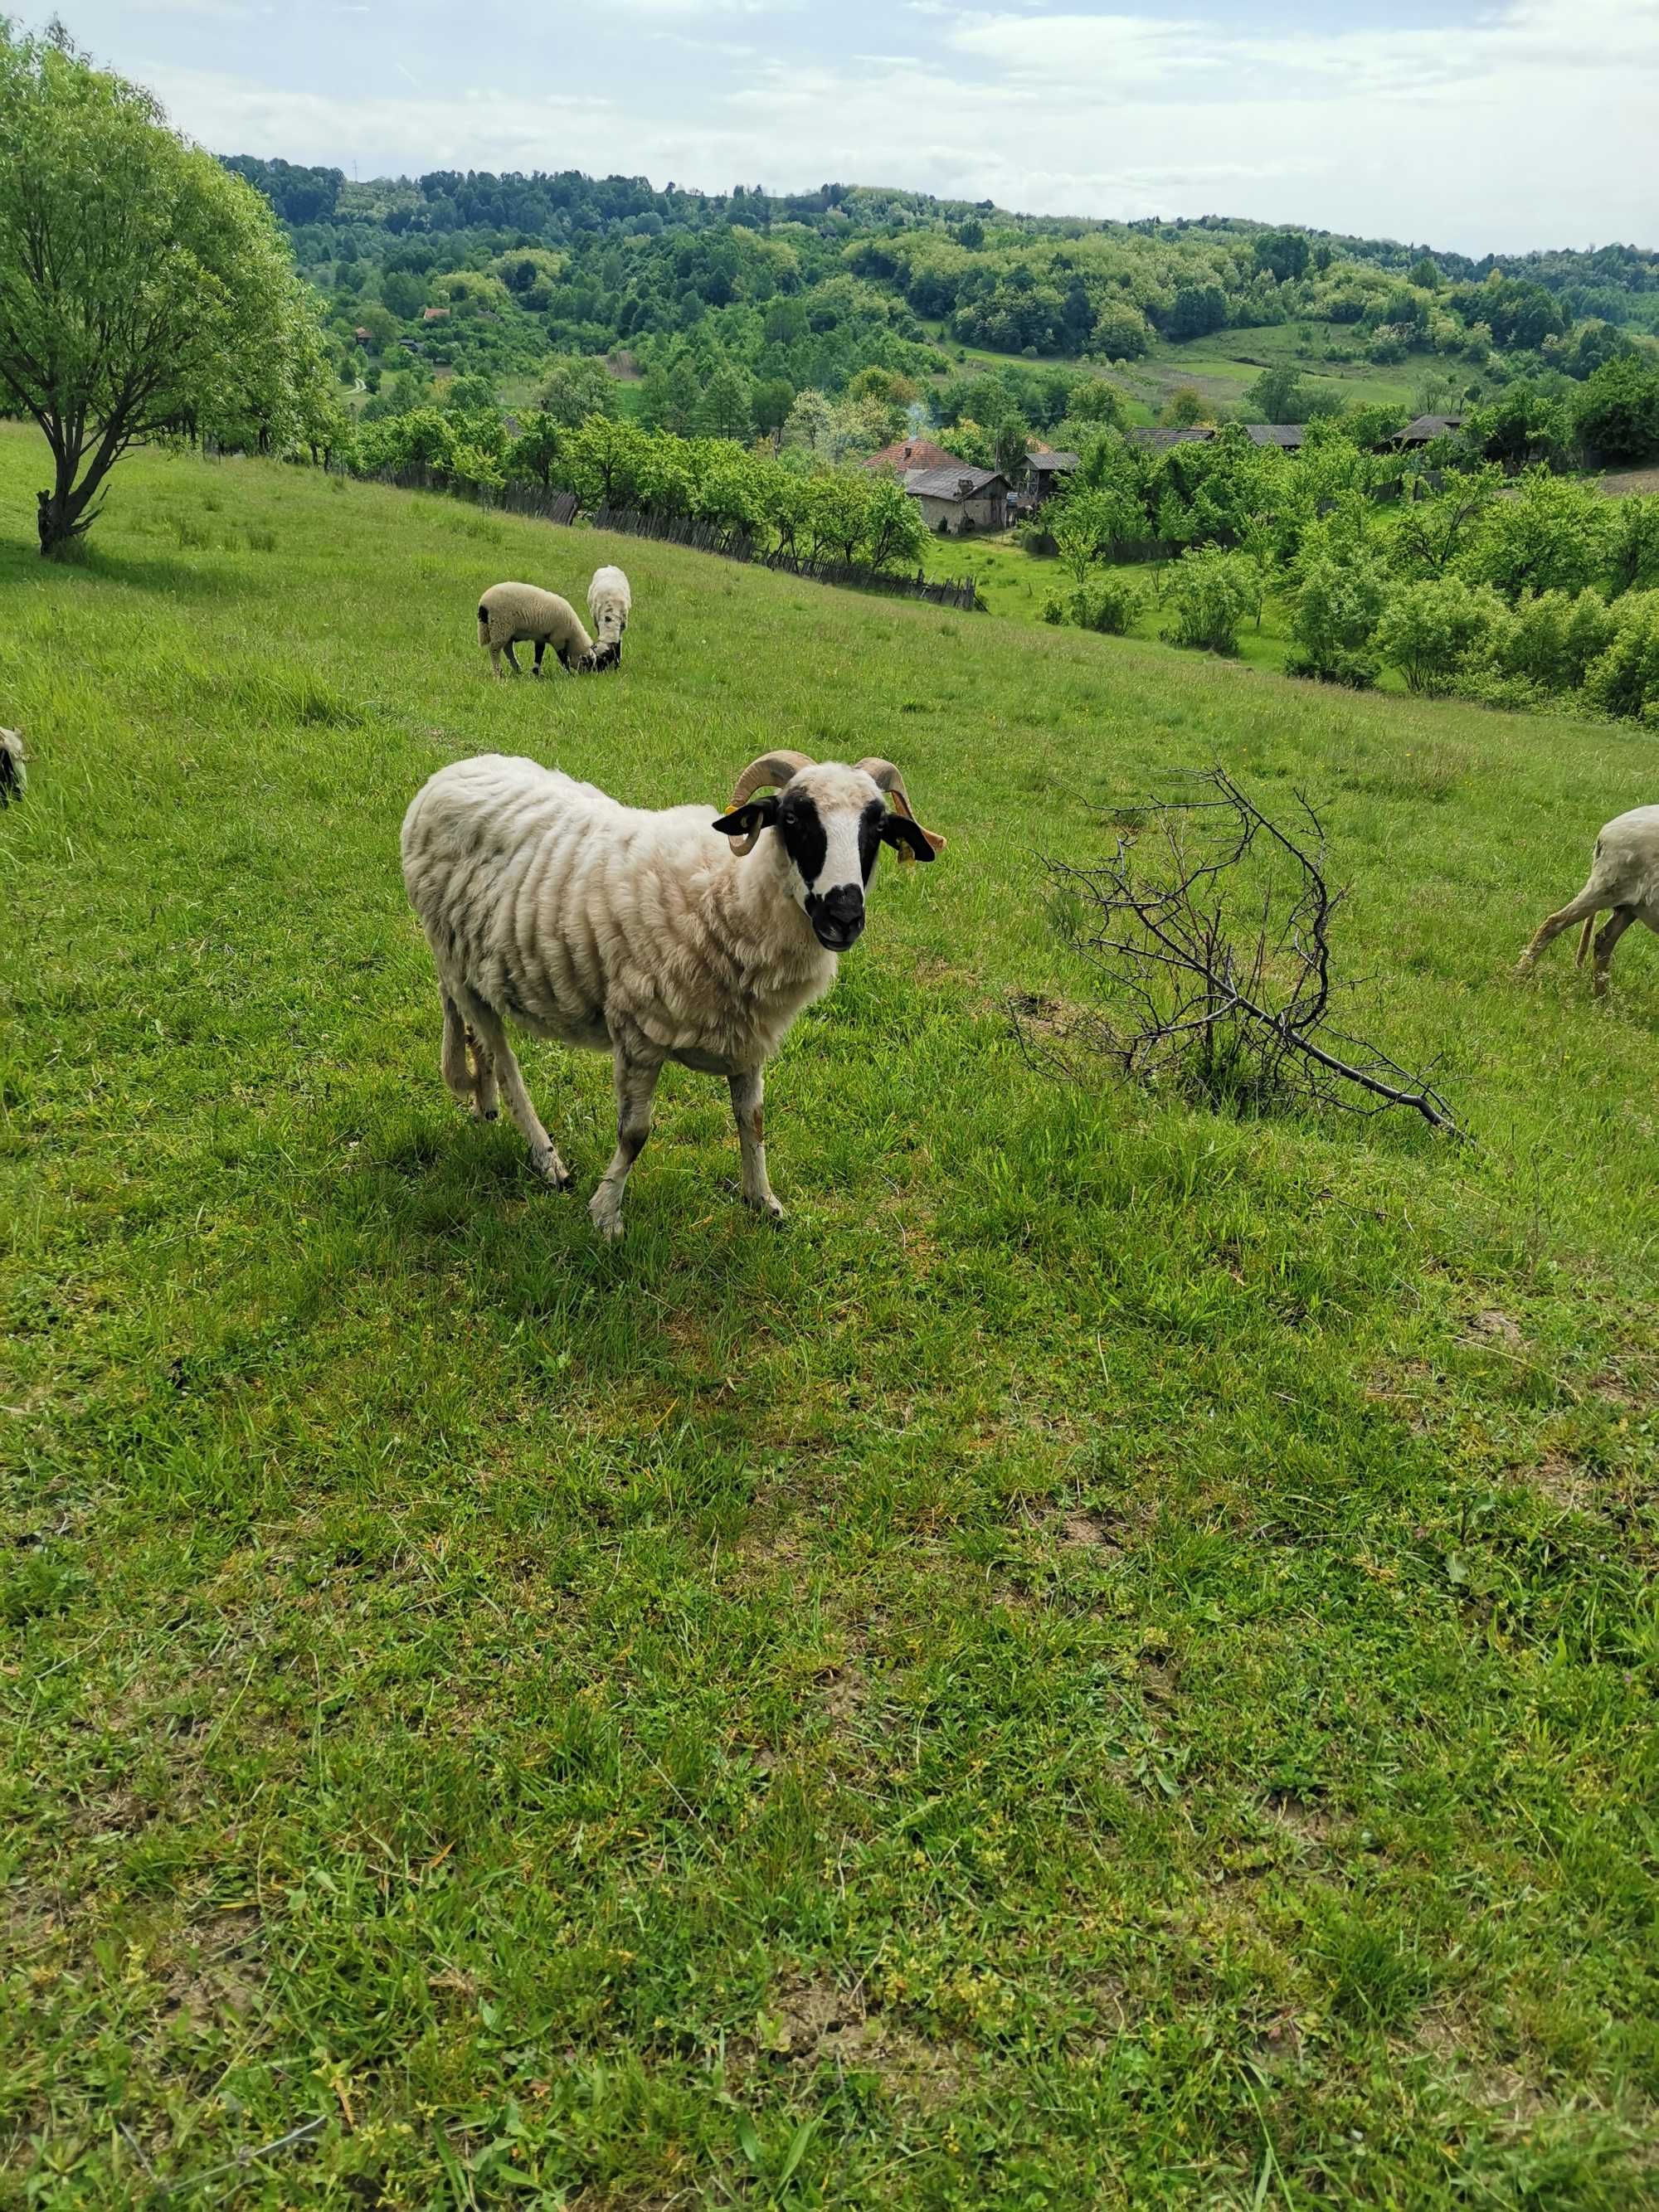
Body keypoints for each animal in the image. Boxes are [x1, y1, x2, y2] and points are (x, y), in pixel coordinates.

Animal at [400, 747, 946, 1238]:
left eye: (878, 828)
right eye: (792, 817)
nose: (843, 917)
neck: (730, 894)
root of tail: (447, 775)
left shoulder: (748, 1035)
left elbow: (753, 1120)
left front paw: (762, 1201)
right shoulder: (639, 1033)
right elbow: (635, 1133)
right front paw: (606, 1214)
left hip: (471, 968)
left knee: (478, 1036)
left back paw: (486, 1107)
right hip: (453, 956)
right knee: (503, 1056)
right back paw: (547, 1159)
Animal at [473, 579, 619, 672]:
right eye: (587, 665)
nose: (587, 677)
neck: (573, 636)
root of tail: (483, 605)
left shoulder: (541, 638)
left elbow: (539, 655)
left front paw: (536, 673)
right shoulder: (558, 638)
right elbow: (563, 658)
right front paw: (568, 674)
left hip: (507, 631)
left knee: (508, 650)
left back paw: (518, 670)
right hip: (500, 626)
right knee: (494, 650)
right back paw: (499, 674)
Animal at [1521, 805, 1659, 995]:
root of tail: (1605, 832)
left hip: (1630, 904)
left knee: (1604, 940)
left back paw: (1602, 998)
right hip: (1608, 886)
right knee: (1555, 922)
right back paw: (1520, 976)